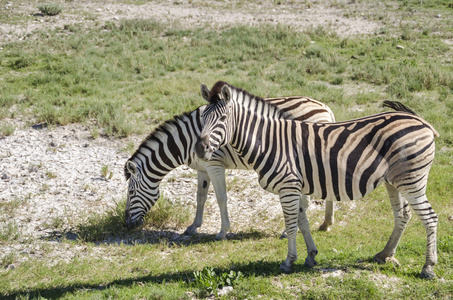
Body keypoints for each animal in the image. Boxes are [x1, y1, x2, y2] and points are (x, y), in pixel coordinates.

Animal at [122, 92, 334, 240]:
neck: (185, 140)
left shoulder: (215, 164)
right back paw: (326, 224)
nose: (126, 224)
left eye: (131, 192)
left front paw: (223, 231)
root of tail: (325, 107)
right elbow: (200, 197)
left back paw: (290, 229)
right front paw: (193, 226)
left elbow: (221, 198)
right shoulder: (202, 168)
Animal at [194, 81, 438, 278]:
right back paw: (385, 254)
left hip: (412, 180)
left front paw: (288, 262)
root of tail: (421, 120)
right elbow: (302, 222)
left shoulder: (288, 186)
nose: (199, 148)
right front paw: (310, 256)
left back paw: (427, 268)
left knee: (429, 217)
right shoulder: (296, 187)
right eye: (202, 118)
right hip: (393, 182)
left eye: (223, 118)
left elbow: (291, 225)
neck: (269, 141)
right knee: (403, 215)